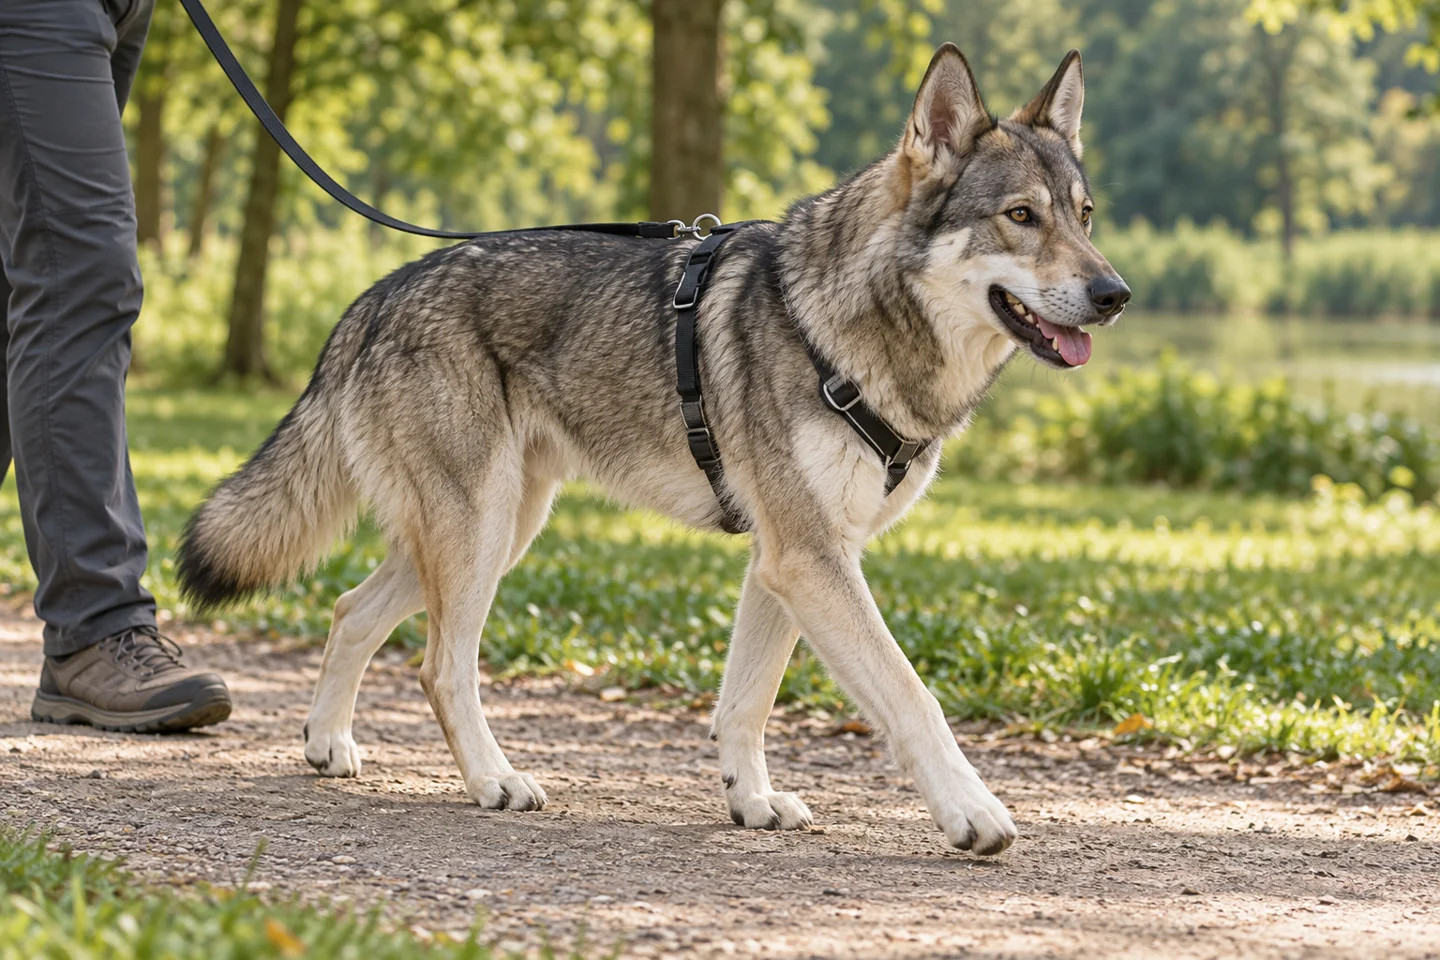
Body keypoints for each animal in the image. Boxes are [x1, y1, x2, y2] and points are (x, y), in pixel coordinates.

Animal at [177, 44, 1129, 857]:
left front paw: (751, 801)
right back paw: (493, 781)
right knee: (441, 667)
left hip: (490, 532)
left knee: (349, 611)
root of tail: (372, 296)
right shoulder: (811, 558)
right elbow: (910, 694)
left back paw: (328, 746)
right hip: (478, 533)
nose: (1115, 293)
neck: (847, 328)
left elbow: (744, 704)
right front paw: (973, 813)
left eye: (1085, 217)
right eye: (1020, 217)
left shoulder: (791, 562)